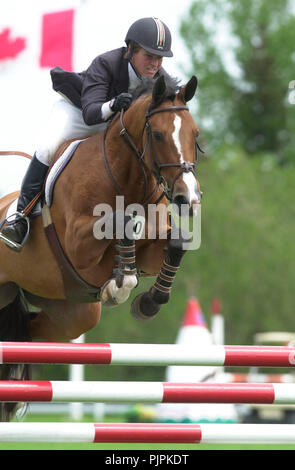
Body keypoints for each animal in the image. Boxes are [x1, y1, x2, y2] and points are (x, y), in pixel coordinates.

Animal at [0, 75, 202, 420]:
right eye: (158, 134)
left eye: (195, 134)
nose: (188, 198)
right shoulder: (77, 245)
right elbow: (120, 222)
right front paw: (117, 286)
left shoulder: (153, 247)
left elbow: (177, 243)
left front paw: (148, 301)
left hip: (71, 313)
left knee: (25, 330)